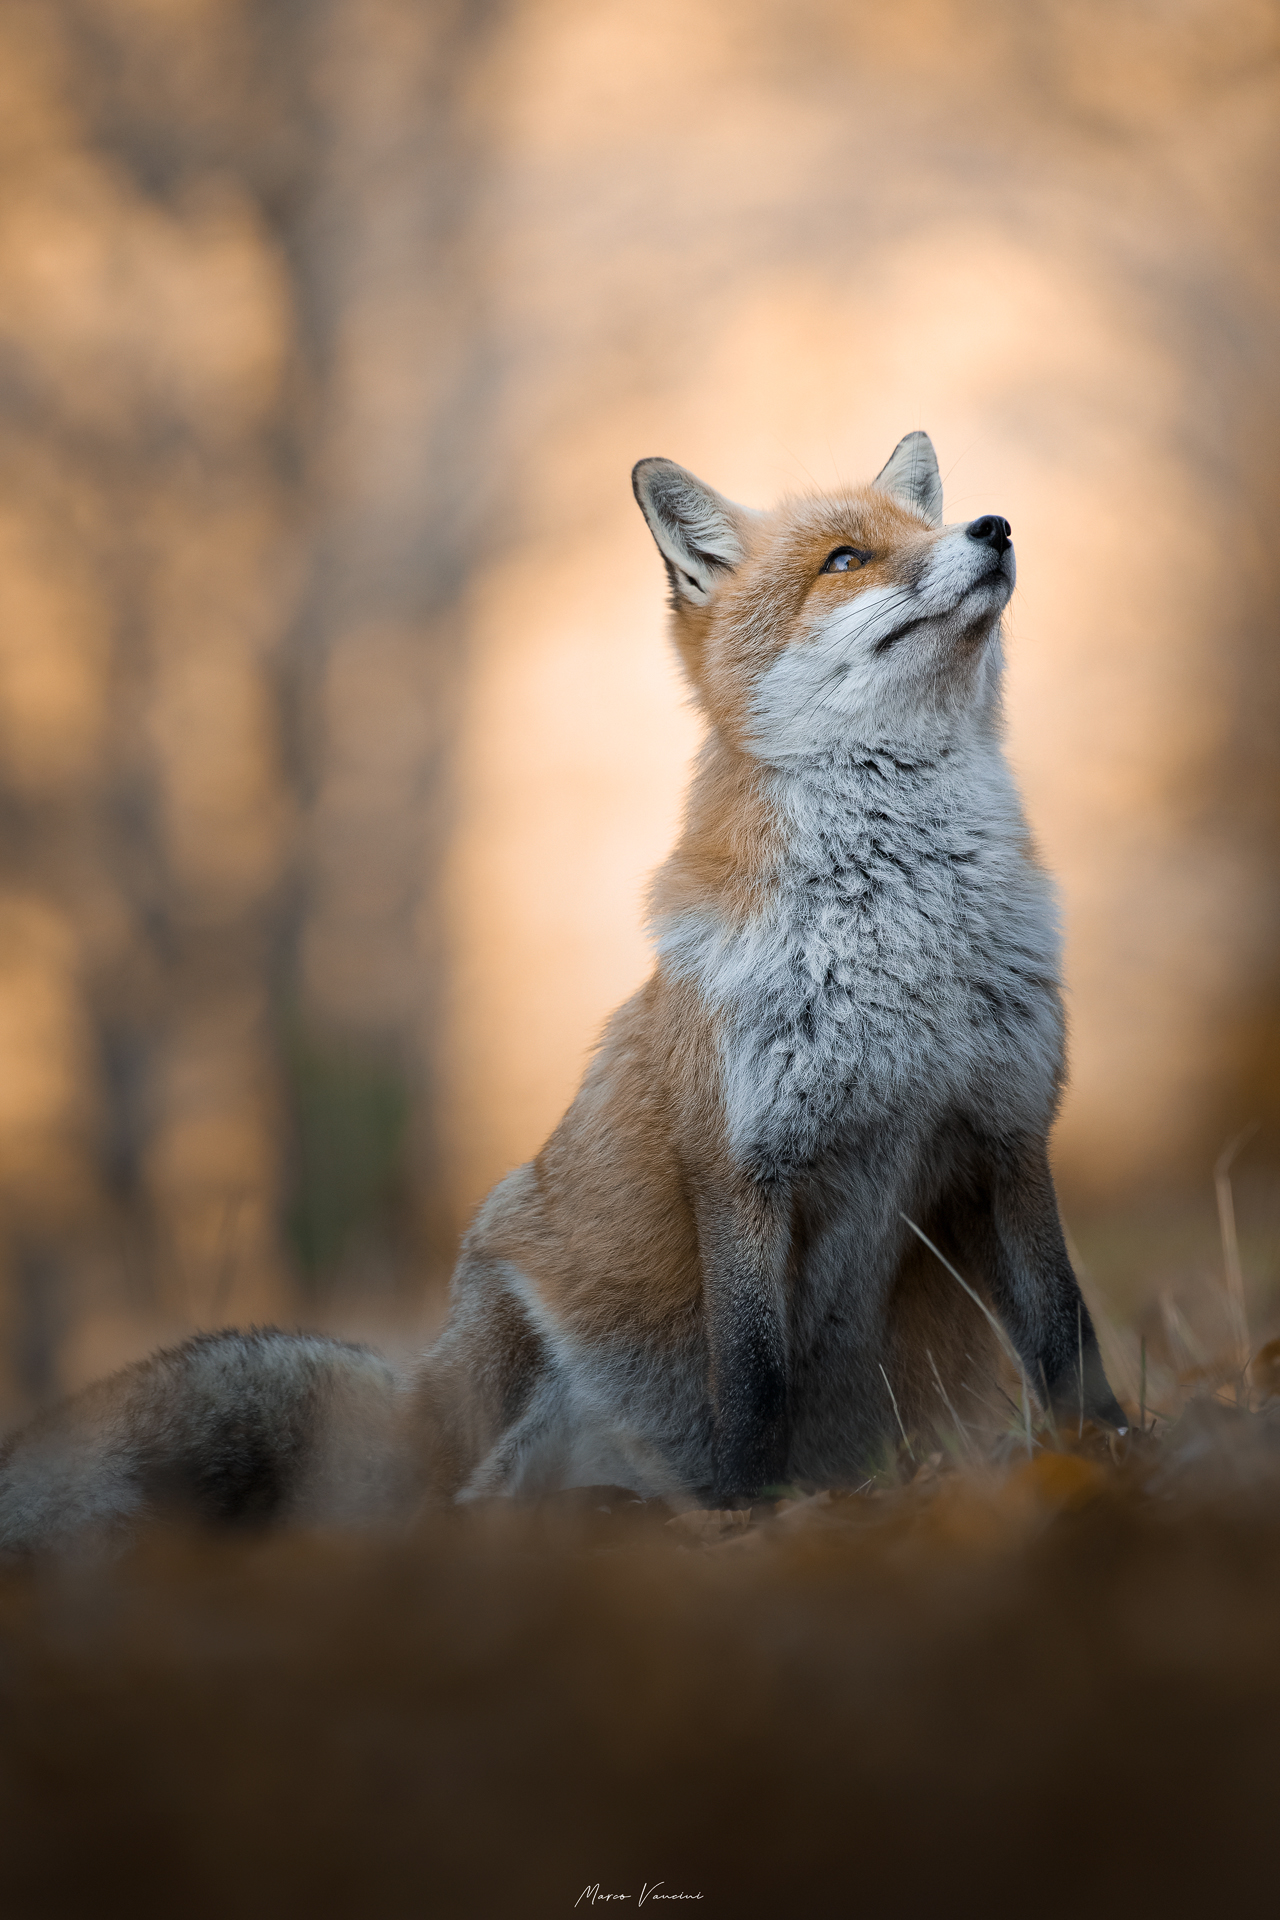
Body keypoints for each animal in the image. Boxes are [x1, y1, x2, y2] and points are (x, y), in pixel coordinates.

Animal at [0, 432, 1127, 1550]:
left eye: (923, 530)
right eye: (845, 559)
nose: (992, 528)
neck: (899, 942)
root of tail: (413, 1414)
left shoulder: (1006, 1135)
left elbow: (1065, 1329)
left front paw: (1107, 1457)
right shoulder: (740, 1167)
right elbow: (752, 1378)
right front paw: (751, 1517)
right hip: (514, 1296)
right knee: (468, 1506)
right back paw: (606, 1512)